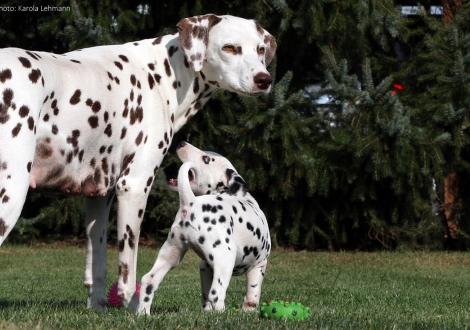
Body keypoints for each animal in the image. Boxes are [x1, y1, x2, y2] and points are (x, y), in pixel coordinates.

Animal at [136, 142, 270, 314]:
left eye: (206, 158)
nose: (181, 143)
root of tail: (191, 202)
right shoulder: (259, 264)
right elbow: (252, 292)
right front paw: (249, 310)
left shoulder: (205, 267)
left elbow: (205, 295)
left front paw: (207, 311)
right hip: (225, 258)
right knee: (216, 293)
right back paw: (221, 313)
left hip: (171, 253)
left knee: (149, 281)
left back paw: (143, 313)